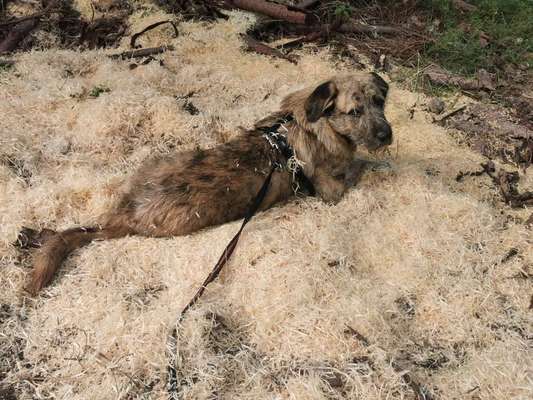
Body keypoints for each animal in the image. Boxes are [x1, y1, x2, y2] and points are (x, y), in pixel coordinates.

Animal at [23, 72, 390, 294]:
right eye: (354, 111)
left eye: (379, 101)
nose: (387, 135)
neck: (315, 122)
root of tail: (126, 214)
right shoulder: (332, 190)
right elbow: (361, 166)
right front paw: (383, 163)